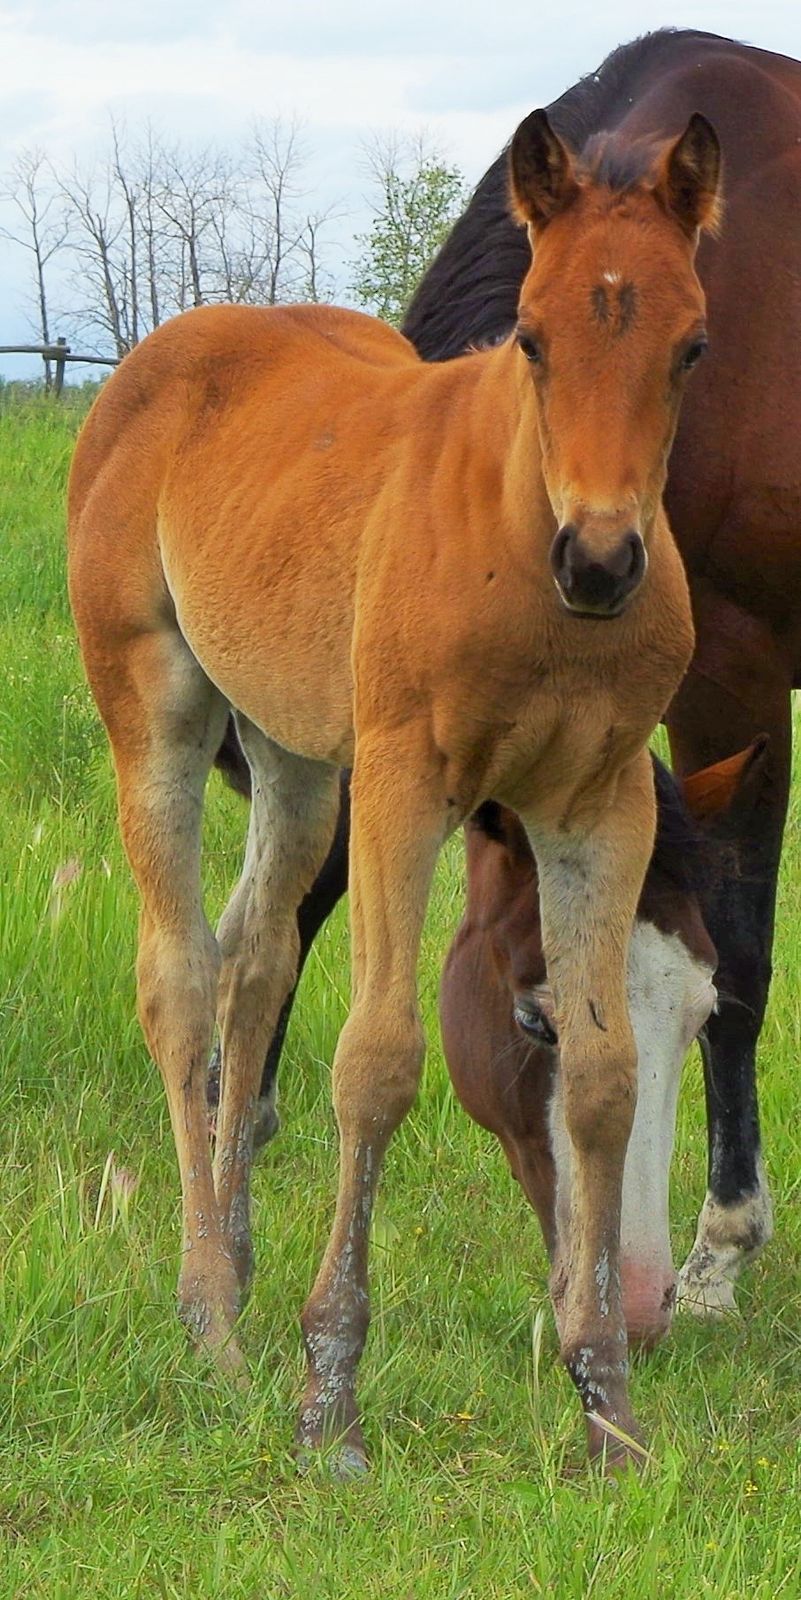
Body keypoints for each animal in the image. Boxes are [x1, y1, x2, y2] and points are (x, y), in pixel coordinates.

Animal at [68, 108, 719, 1469]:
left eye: (692, 346)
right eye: (530, 336)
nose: (601, 560)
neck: (525, 560)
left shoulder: (600, 810)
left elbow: (603, 1080)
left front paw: (608, 1404)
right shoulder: (407, 785)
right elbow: (375, 1061)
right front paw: (331, 1401)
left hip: (298, 754)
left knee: (255, 959)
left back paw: (236, 1276)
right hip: (156, 706)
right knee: (181, 976)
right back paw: (211, 1319)